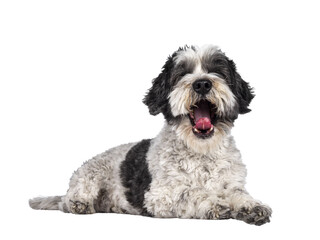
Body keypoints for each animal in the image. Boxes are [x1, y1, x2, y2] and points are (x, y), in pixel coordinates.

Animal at [29, 44, 272, 225]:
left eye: (219, 72)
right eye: (182, 73)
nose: (202, 83)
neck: (202, 153)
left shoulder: (232, 183)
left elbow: (238, 194)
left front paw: (251, 206)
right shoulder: (159, 196)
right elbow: (191, 193)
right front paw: (214, 203)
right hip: (89, 175)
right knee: (67, 201)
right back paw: (77, 204)